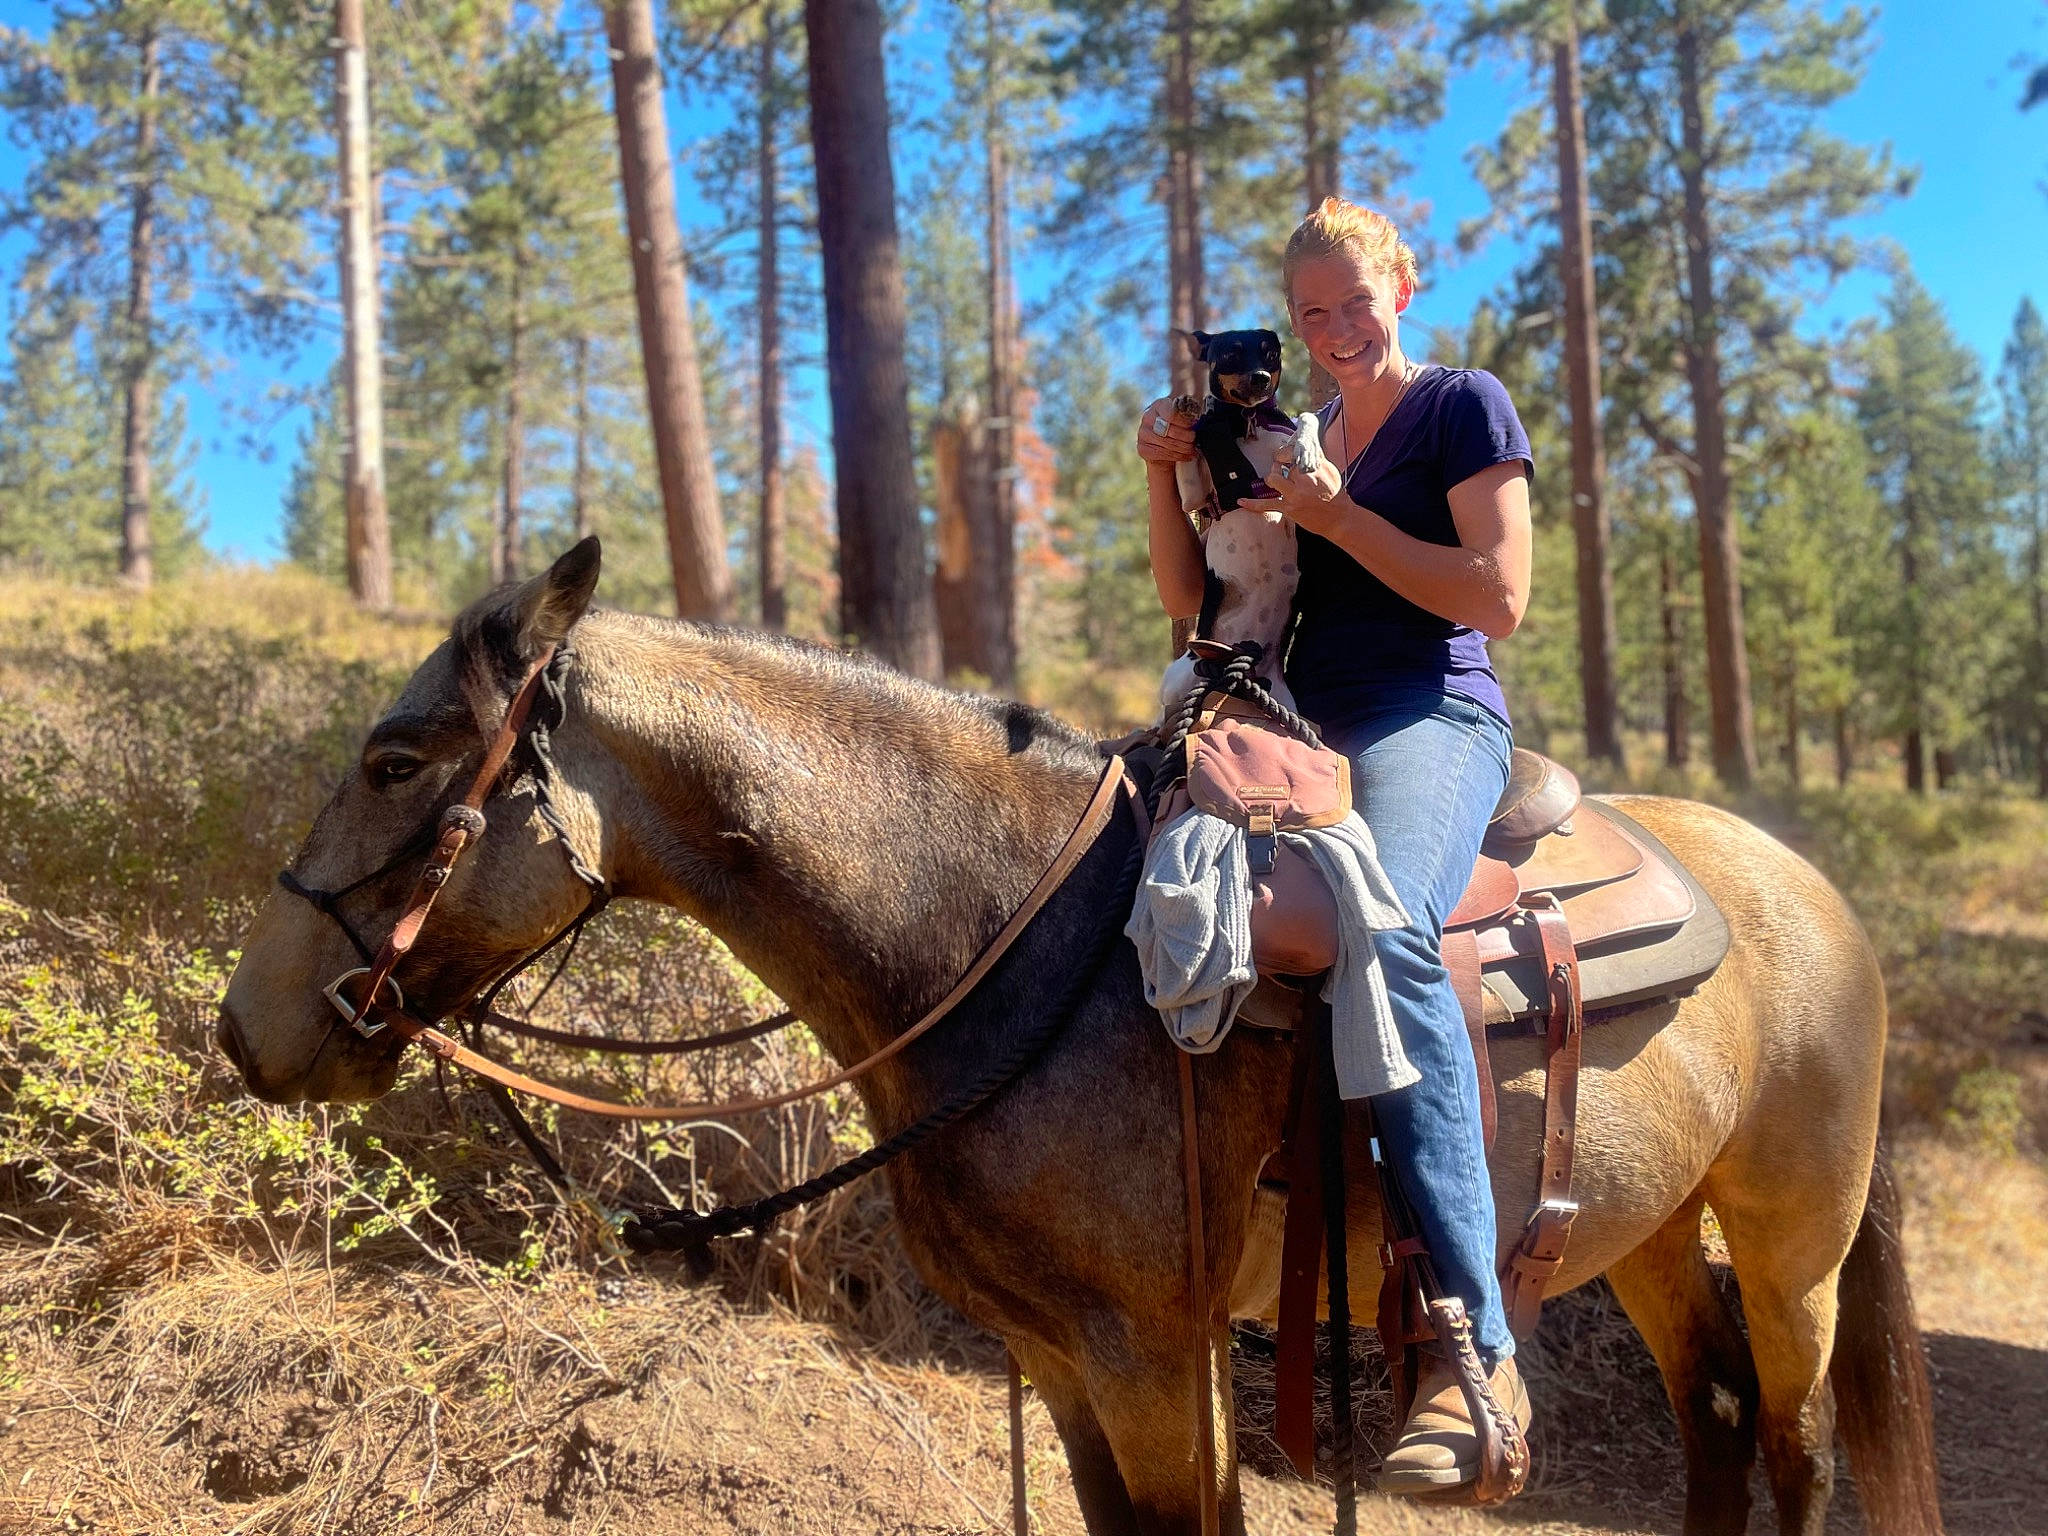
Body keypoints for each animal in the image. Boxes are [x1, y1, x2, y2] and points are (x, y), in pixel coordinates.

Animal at [218, 540, 1942, 1536]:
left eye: (395, 757)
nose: (248, 1030)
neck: (1008, 940)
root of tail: (1810, 887)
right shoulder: (1056, 1360)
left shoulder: (1151, 1353)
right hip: (1641, 1228)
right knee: (1717, 1418)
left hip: (1790, 1238)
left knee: (1795, 1443)